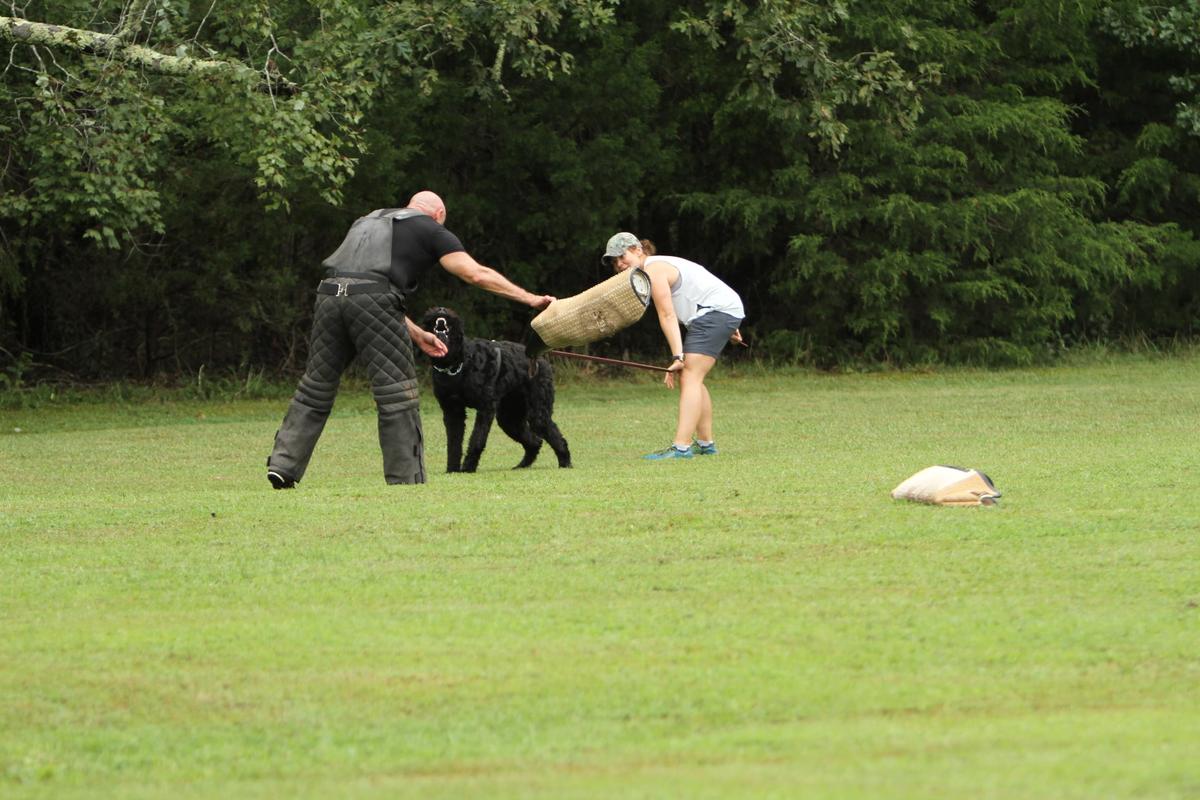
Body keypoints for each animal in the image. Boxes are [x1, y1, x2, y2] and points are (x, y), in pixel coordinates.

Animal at [420, 304, 573, 470]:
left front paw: (468, 468)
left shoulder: (486, 407)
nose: (441, 309)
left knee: (556, 436)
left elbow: (477, 439)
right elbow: (453, 444)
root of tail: (540, 360)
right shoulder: (452, 411)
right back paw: (522, 466)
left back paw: (565, 463)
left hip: (537, 412)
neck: (457, 364)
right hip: (510, 417)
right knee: (535, 441)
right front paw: (452, 470)